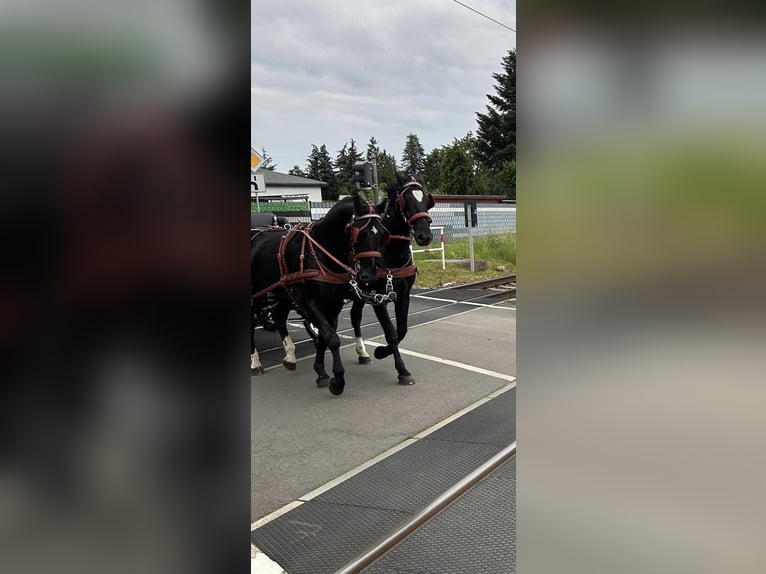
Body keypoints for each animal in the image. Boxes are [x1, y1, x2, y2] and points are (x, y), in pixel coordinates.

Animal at [250, 195, 384, 396]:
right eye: (360, 233)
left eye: (381, 233)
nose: (369, 276)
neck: (321, 253)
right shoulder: (310, 304)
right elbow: (332, 338)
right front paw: (338, 380)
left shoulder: (333, 305)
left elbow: (323, 337)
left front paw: (320, 372)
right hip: (257, 293)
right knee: (252, 323)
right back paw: (255, 362)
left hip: (284, 292)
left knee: (279, 315)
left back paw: (290, 356)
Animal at [352, 173, 436, 384]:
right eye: (405, 199)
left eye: (426, 199)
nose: (424, 236)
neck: (391, 253)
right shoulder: (377, 299)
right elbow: (391, 333)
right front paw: (401, 369)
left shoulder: (403, 295)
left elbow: (402, 330)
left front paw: (381, 352)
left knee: (355, 316)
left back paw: (362, 353)